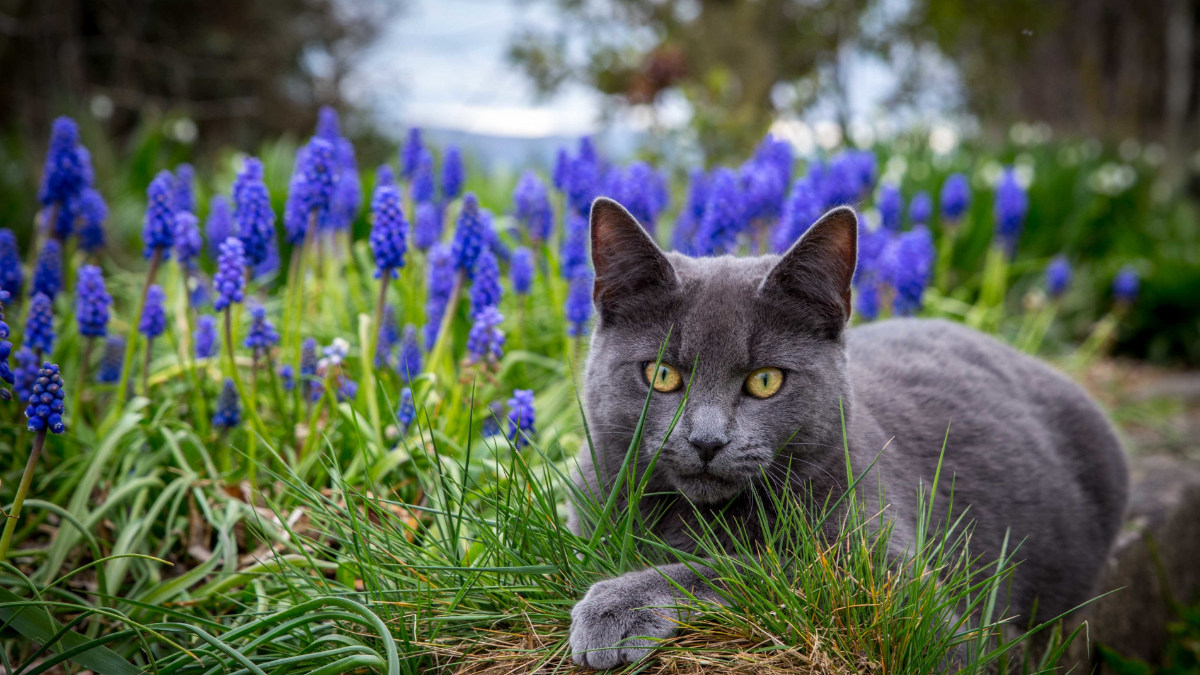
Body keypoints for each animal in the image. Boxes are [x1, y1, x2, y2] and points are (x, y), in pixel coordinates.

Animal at [566, 195, 1128, 667]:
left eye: (765, 380)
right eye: (662, 374)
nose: (706, 441)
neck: (695, 518)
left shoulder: (908, 594)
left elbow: (770, 570)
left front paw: (618, 604)